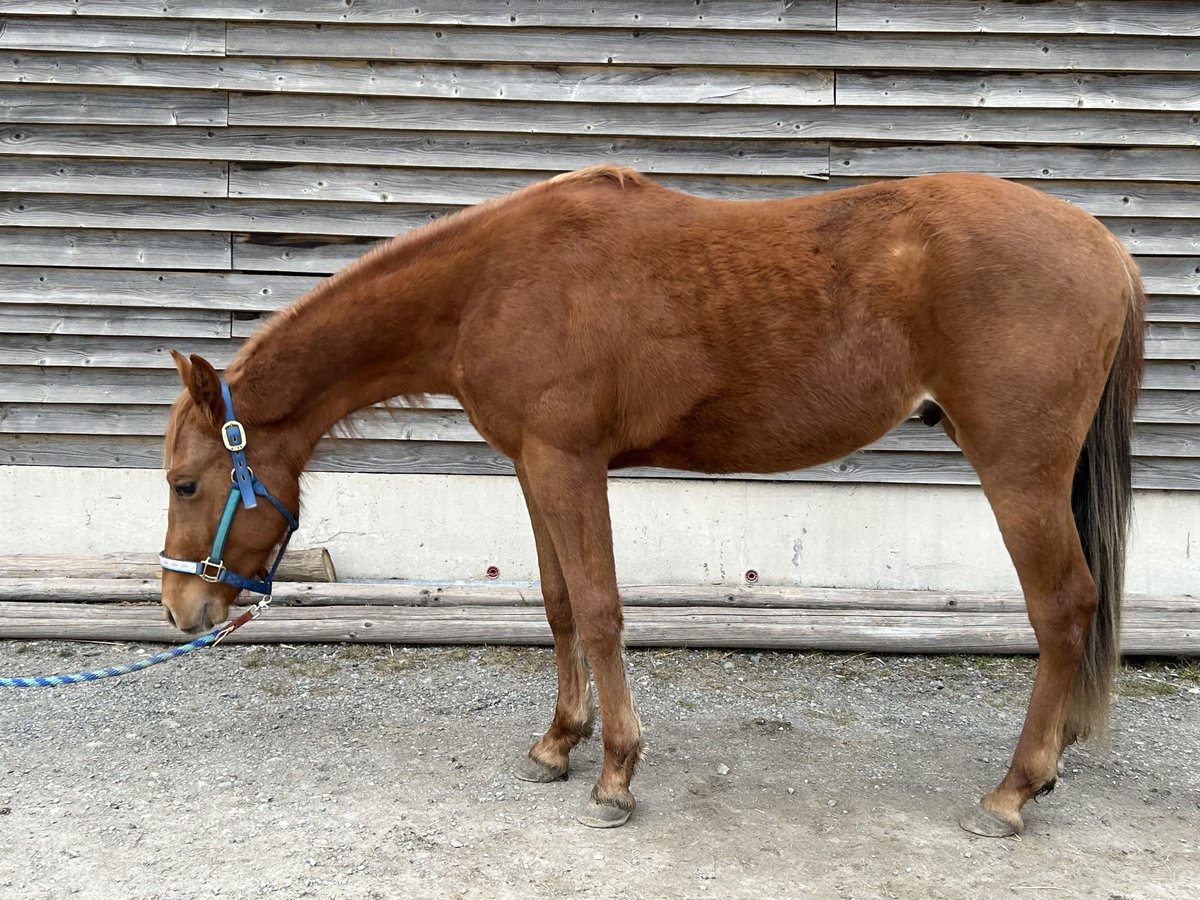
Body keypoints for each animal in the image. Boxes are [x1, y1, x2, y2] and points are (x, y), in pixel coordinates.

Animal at [159, 168, 1142, 840]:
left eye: (184, 483)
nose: (178, 607)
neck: (493, 283)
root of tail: (1105, 247)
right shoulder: (533, 467)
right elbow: (560, 606)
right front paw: (559, 743)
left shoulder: (570, 464)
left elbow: (600, 611)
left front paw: (616, 775)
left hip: (1018, 473)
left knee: (1065, 609)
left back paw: (1012, 793)